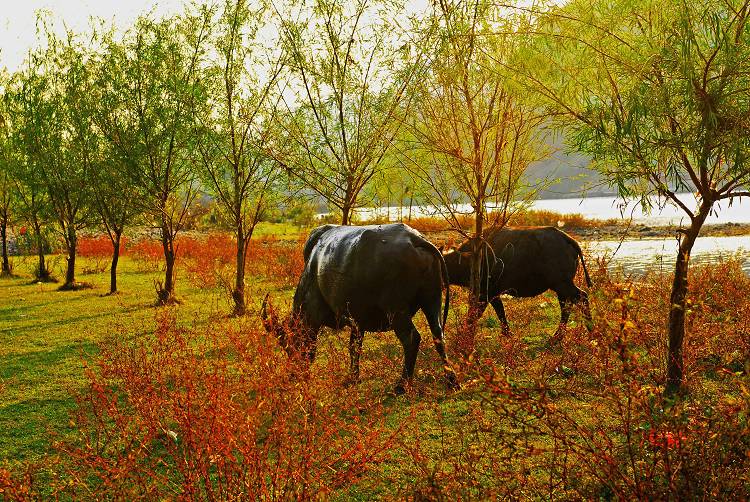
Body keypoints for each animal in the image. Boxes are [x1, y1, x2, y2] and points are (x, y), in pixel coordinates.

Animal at [262, 222, 462, 394]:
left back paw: (402, 385)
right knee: (438, 335)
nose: (294, 374)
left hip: (396, 311)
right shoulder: (357, 322)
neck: (313, 268)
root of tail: (415, 239)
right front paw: (353, 377)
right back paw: (452, 381)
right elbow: (354, 347)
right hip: (432, 300)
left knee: (412, 339)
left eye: (291, 344)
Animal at [444, 227, 596, 342]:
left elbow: (473, 315)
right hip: (560, 287)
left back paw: (590, 332)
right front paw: (507, 334)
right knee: (567, 306)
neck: (469, 258)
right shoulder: (493, 294)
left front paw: (464, 336)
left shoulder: (484, 293)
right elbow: (500, 312)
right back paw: (558, 336)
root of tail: (569, 240)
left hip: (563, 284)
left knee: (582, 297)